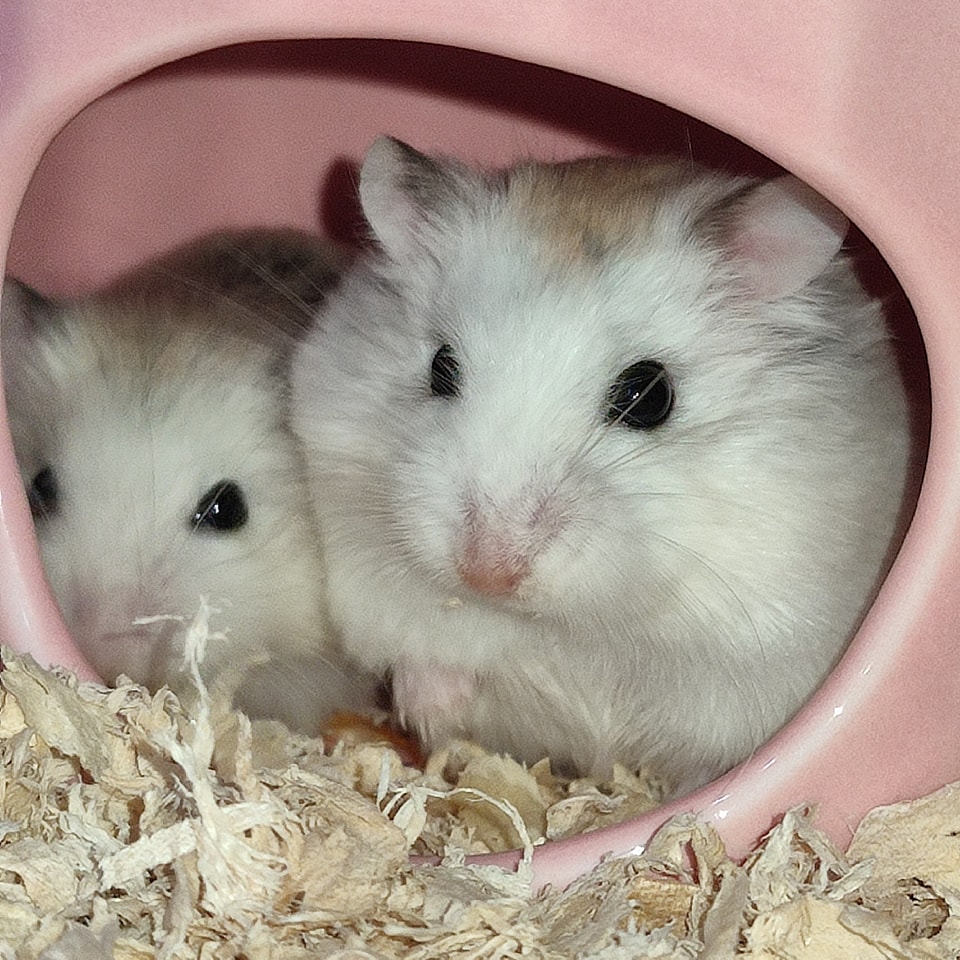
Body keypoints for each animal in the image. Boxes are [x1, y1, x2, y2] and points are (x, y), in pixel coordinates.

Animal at [290, 138, 912, 796]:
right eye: (441, 367)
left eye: (651, 396)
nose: (487, 574)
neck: (573, 624)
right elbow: (423, 653)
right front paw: (429, 704)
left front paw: (691, 798)